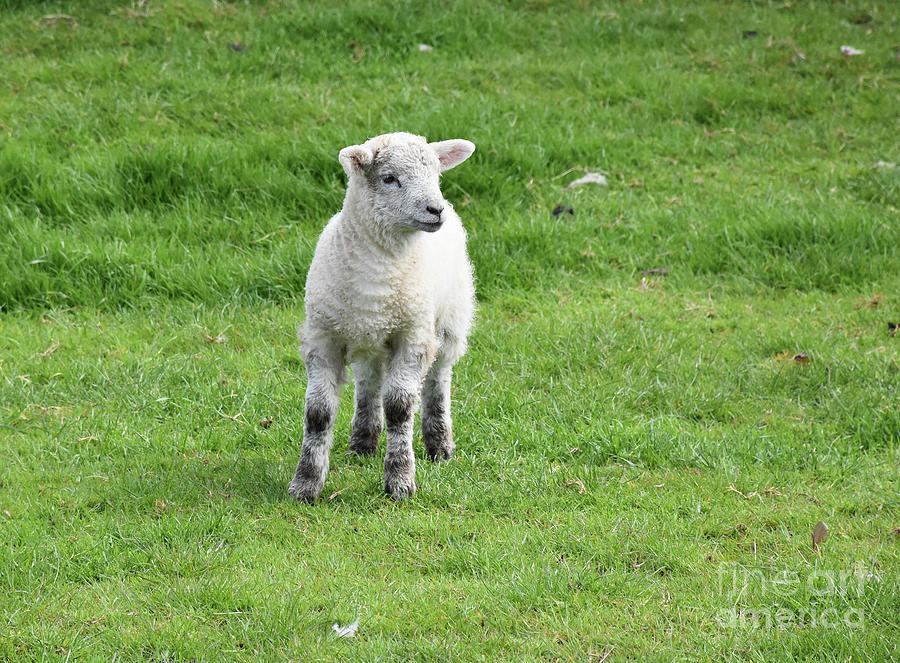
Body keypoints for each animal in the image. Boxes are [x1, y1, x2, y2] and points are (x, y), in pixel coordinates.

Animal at [292, 131, 478, 504]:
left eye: (436, 174)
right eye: (389, 178)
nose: (435, 209)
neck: (378, 274)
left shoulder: (413, 337)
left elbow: (399, 407)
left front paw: (400, 480)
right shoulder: (322, 337)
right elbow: (318, 413)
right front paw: (305, 484)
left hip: (450, 320)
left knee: (438, 380)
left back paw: (440, 445)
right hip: (368, 339)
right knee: (368, 384)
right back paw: (363, 443)